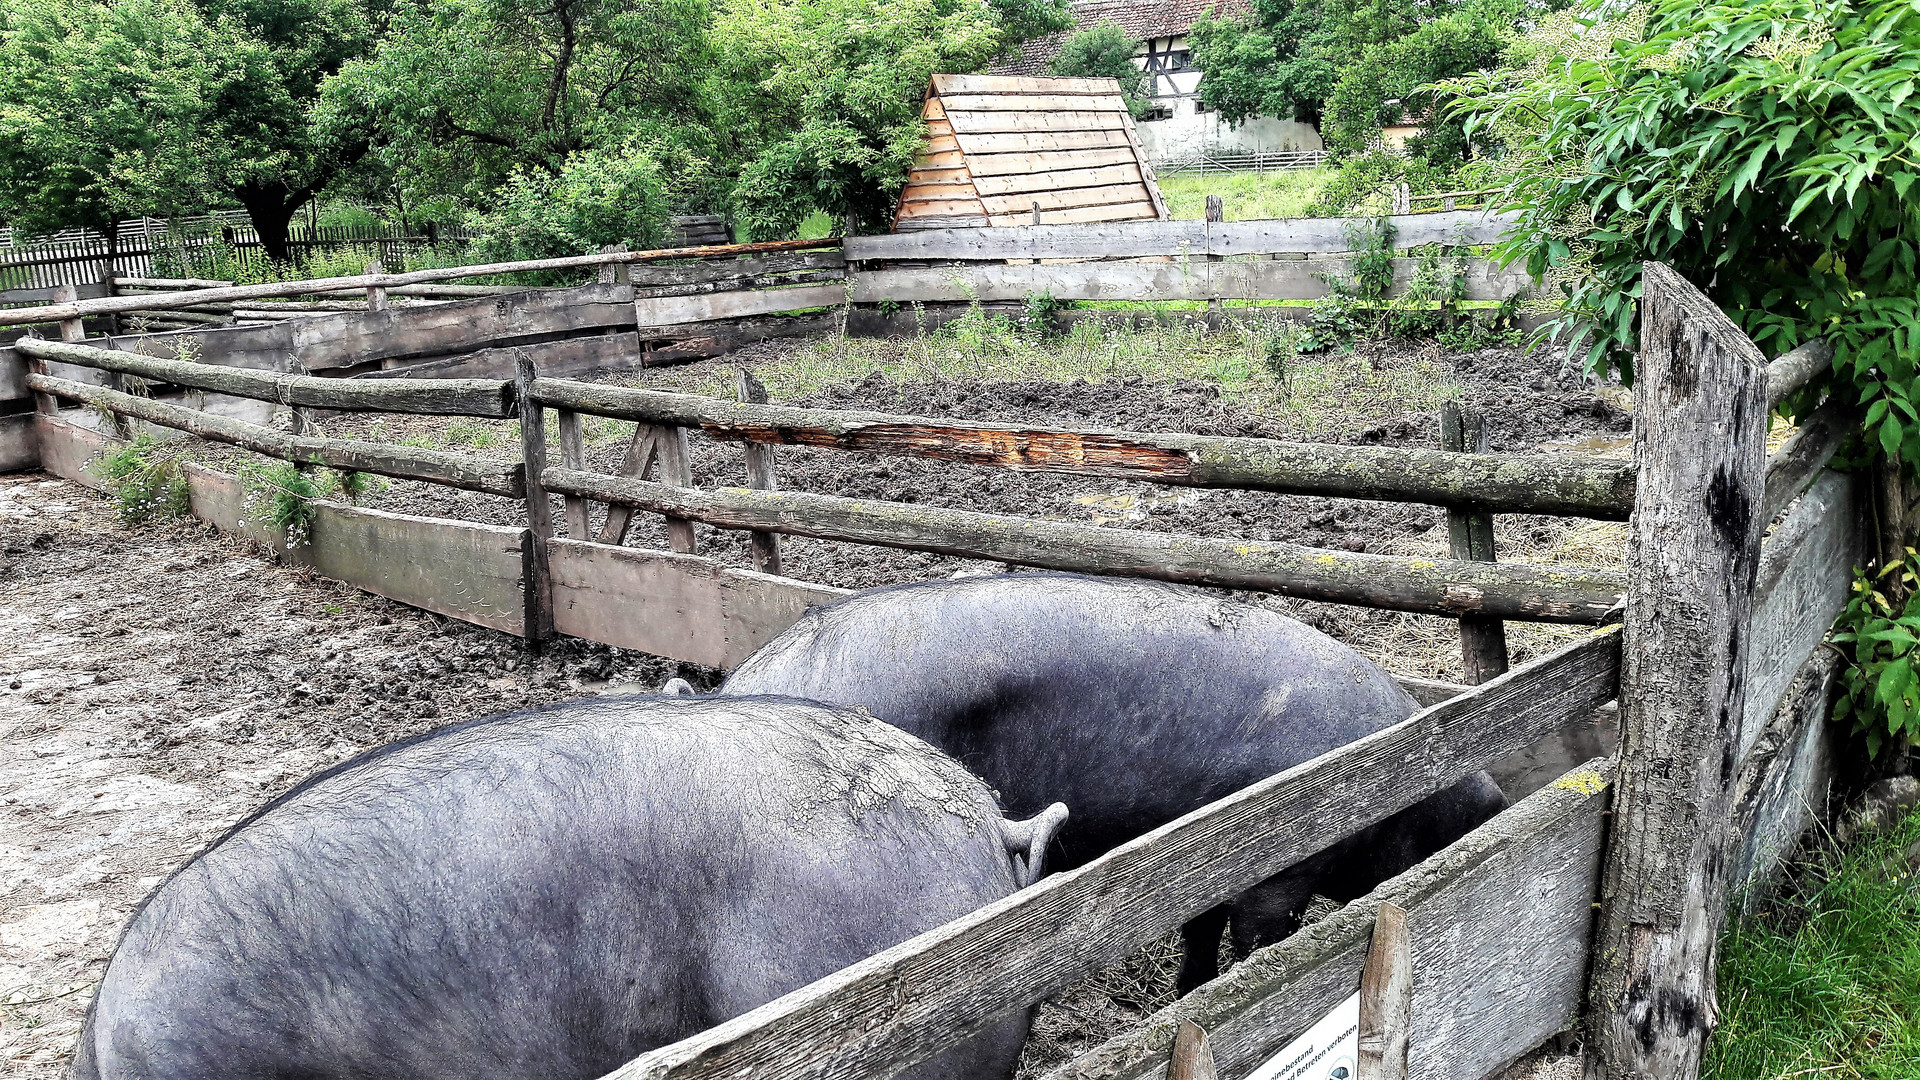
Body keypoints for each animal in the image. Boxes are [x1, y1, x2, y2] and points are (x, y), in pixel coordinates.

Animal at [714, 576, 1505, 991]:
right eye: (1450, 834)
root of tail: (753, 673)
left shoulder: (1204, 850)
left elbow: (1198, 932)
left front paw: (1187, 993)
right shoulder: (1281, 866)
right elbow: (1256, 938)